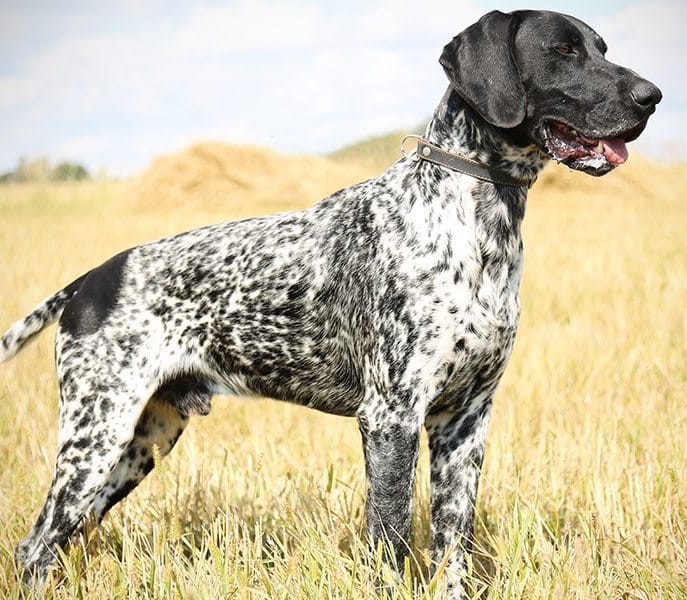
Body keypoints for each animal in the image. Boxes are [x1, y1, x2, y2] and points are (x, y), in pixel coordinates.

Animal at [2, 9, 664, 596]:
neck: (475, 221)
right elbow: (392, 545)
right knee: (35, 545)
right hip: (97, 435)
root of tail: (91, 280)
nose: (653, 96)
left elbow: (452, 548)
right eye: (563, 51)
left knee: (55, 540)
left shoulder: (465, 421)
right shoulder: (392, 417)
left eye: (601, 47)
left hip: (140, 442)